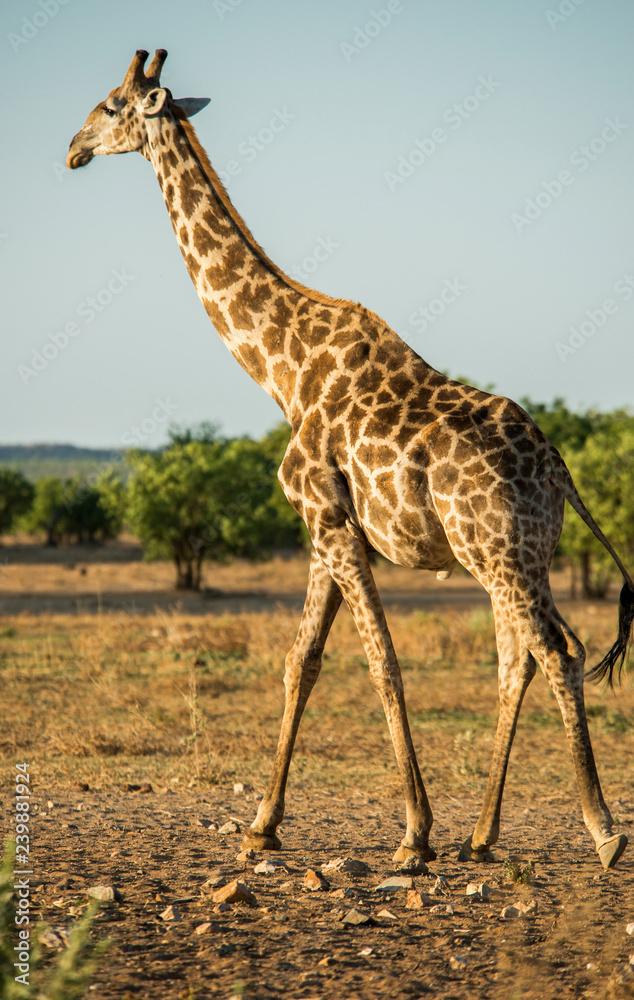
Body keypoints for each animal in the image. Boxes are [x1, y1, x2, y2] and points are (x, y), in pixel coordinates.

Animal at [67, 50, 634, 870]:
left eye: (111, 105)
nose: (71, 148)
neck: (281, 368)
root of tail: (560, 469)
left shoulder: (331, 525)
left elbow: (381, 662)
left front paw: (412, 833)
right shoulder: (325, 529)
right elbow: (301, 661)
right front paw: (261, 826)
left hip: (497, 552)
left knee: (556, 651)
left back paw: (602, 830)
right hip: (521, 556)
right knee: (520, 657)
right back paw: (482, 835)